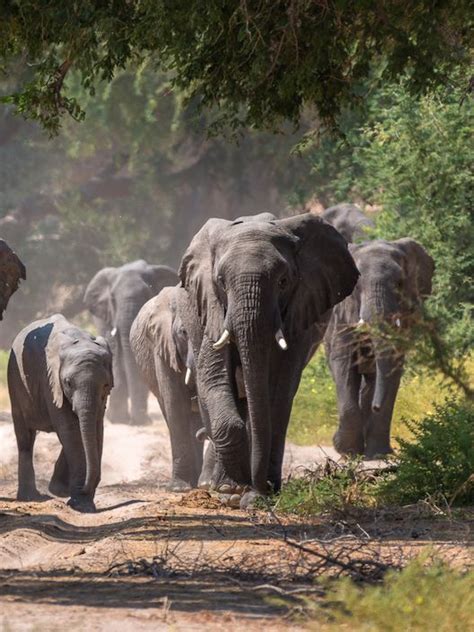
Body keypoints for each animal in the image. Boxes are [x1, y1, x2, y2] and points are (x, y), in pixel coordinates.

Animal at [8, 314, 114, 512]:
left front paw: (73, 497)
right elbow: (70, 429)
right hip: (15, 380)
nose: (87, 487)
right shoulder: (51, 381)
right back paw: (30, 497)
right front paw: (81, 505)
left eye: (106, 385)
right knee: (25, 438)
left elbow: (95, 428)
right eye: (68, 383)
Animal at [83, 262, 178, 424]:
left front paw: (140, 421)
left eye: (147, 293)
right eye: (112, 299)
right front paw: (118, 420)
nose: (137, 421)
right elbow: (113, 351)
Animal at [179, 215, 360, 502]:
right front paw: (232, 490)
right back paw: (221, 486)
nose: (258, 489)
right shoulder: (213, 310)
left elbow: (279, 390)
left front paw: (255, 494)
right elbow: (215, 377)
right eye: (220, 281)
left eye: (283, 282)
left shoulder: (299, 316)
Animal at [326, 239, 434, 456]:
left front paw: (378, 453)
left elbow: (393, 366)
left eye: (400, 283)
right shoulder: (342, 314)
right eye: (356, 285)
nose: (376, 406)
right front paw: (346, 450)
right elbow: (343, 362)